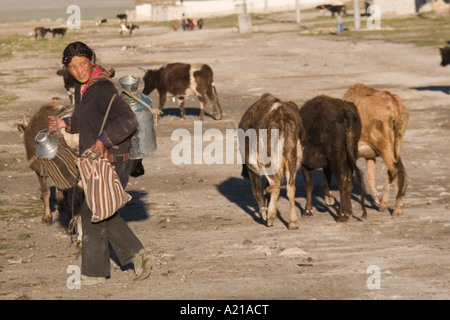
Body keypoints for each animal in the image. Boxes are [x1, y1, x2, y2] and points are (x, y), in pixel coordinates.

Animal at [239, 92, 302, 230]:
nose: (243, 174)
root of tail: (280, 112)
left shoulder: (252, 167)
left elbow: (257, 191)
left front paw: (264, 214)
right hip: (291, 159)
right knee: (290, 187)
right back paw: (293, 222)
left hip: (266, 161)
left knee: (276, 185)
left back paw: (271, 217)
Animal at [342, 84, 410, 216]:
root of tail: (394, 107)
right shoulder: (370, 155)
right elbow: (370, 178)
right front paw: (377, 199)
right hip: (396, 145)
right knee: (397, 170)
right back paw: (391, 204)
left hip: (384, 146)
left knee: (394, 169)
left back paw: (392, 207)